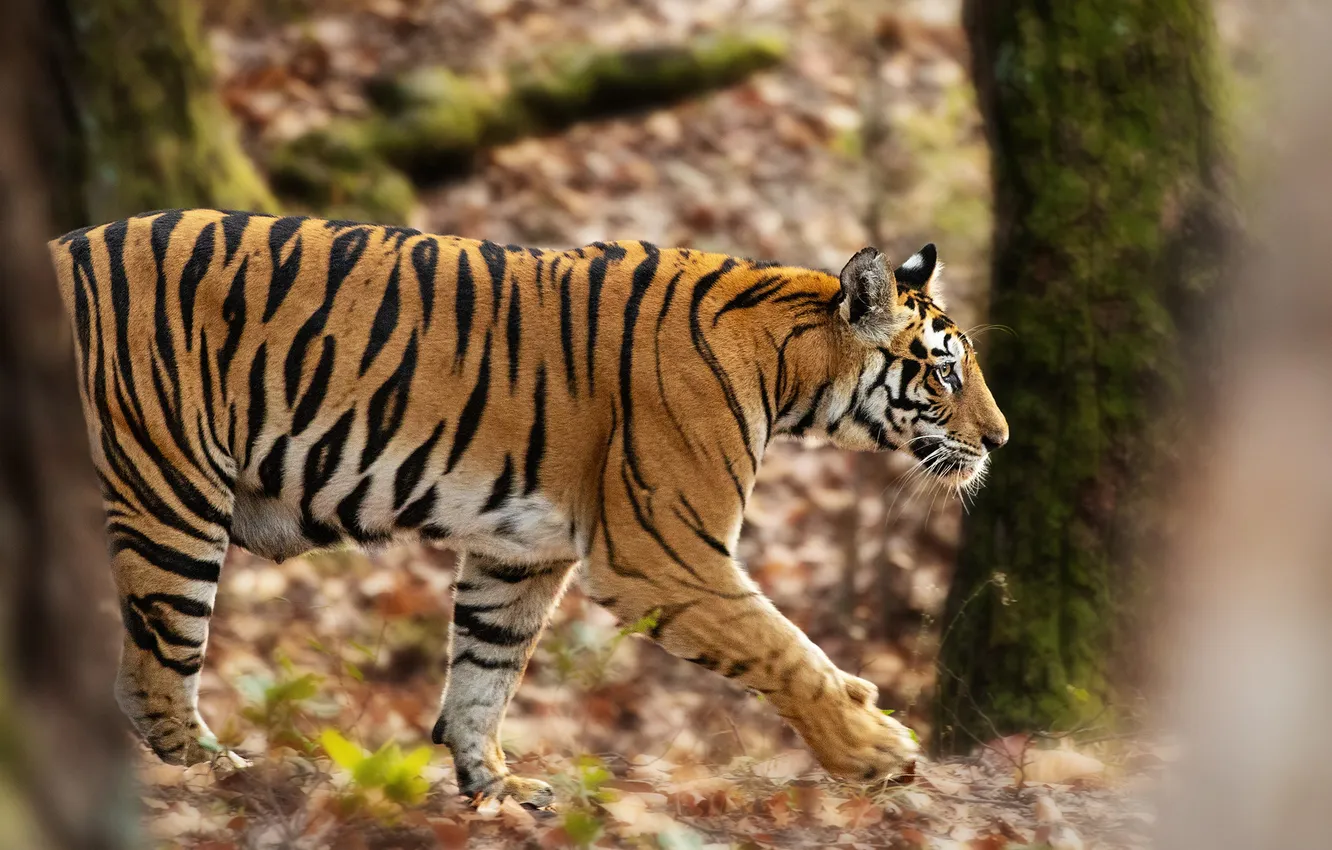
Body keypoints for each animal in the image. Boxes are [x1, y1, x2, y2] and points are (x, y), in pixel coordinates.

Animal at [49, 209, 1007, 806]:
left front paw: (497, 789)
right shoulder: (663, 550)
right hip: (171, 495)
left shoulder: (520, 550)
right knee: (152, 675)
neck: (790, 369)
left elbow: (485, 670)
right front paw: (875, 749)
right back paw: (219, 780)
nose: (999, 440)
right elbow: (782, 647)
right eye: (945, 371)